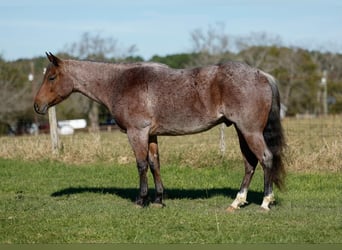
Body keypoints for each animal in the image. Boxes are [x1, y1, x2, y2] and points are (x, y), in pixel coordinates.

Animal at [34, 52, 286, 211]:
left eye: (52, 77)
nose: (37, 106)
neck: (119, 82)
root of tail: (261, 74)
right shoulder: (151, 135)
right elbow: (155, 164)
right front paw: (158, 199)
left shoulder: (137, 133)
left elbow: (141, 165)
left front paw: (141, 200)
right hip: (242, 132)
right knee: (250, 164)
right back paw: (237, 202)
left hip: (250, 131)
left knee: (265, 158)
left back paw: (265, 202)